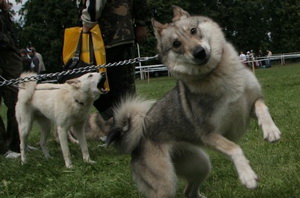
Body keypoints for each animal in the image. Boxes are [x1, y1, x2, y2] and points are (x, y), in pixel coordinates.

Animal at [107, 5, 282, 198]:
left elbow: (262, 108)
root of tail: (136, 140)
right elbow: (234, 148)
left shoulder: (250, 105)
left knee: (188, 191)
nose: (199, 53)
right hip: (165, 186)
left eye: (193, 30)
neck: (218, 74)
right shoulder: (210, 134)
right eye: (176, 44)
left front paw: (271, 131)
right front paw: (247, 176)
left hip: (201, 164)